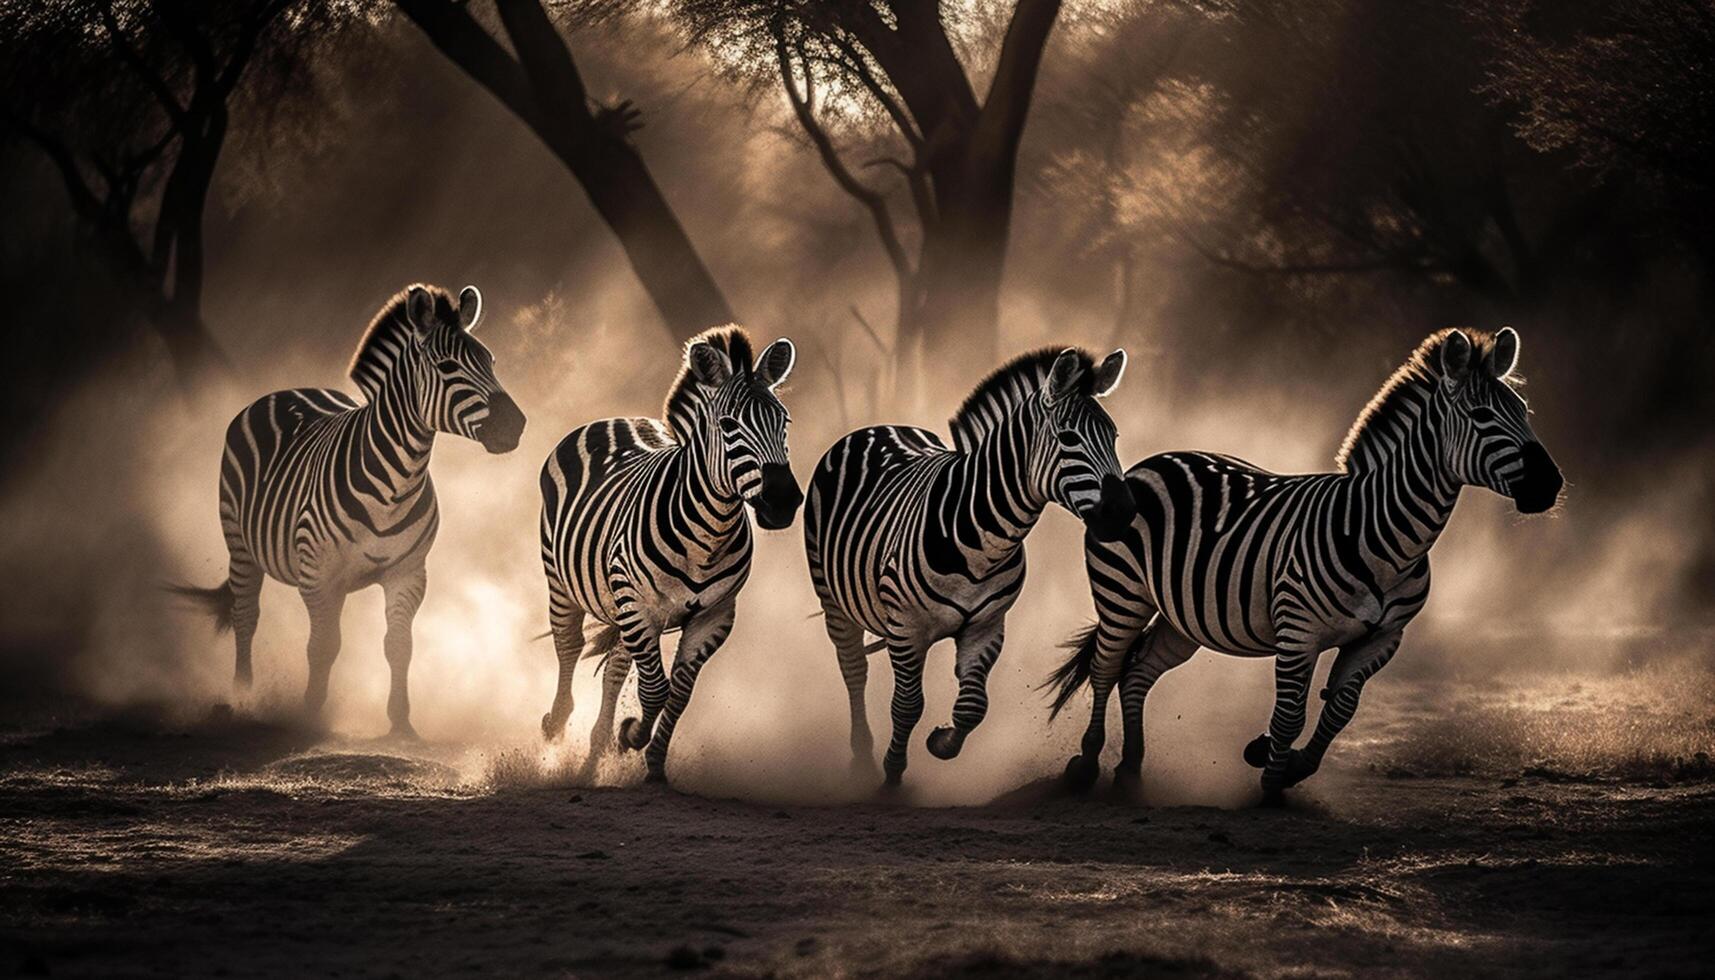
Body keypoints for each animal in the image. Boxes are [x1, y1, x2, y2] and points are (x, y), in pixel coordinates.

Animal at [174, 283, 524, 734]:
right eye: (447, 366)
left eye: (490, 361)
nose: (515, 425)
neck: (396, 484)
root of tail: (287, 390)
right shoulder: (317, 575)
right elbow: (322, 646)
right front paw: (308, 715)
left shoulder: (408, 573)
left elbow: (399, 645)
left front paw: (400, 722)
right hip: (240, 544)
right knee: (246, 615)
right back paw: (243, 696)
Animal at [538, 326, 799, 786]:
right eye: (728, 425)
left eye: (783, 422)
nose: (783, 502)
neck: (707, 538)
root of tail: (617, 418)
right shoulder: (640, 606)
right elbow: (655, 690)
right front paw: (631, 735)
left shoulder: (715, 615)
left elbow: (677, 693)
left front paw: (653, 763)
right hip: (564, 582)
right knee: (568, 646)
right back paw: (557, 725)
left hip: (625, 609)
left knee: (615, 667)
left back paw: (598, 746)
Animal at [806, 346, 1138, 789]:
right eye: (1069, 438)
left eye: (1114, 436)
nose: (1126, 512)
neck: (983, 539)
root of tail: (880, 426)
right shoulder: (907, 628)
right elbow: (907, 705)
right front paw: (892, 775)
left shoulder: (986, 626)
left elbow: (973, 707)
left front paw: (942, 742)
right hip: (833, 600)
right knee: (854, 670)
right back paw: (861, 757)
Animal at [1049, 326, 1564, 799]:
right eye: (1482, 415)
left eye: (1523, 411)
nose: (1551, 484)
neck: (1387, 537)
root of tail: (1149, 462)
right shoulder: (1299, 633)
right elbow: (1291, 714)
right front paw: (1272, 783)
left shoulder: (1383, 638)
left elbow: (1341, 709)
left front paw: (1288, 764)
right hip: (1122, 594)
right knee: (1106, 667)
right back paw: (1086, 767)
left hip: (1183, 617)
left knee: (1137, 673)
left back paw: (1131, 771)